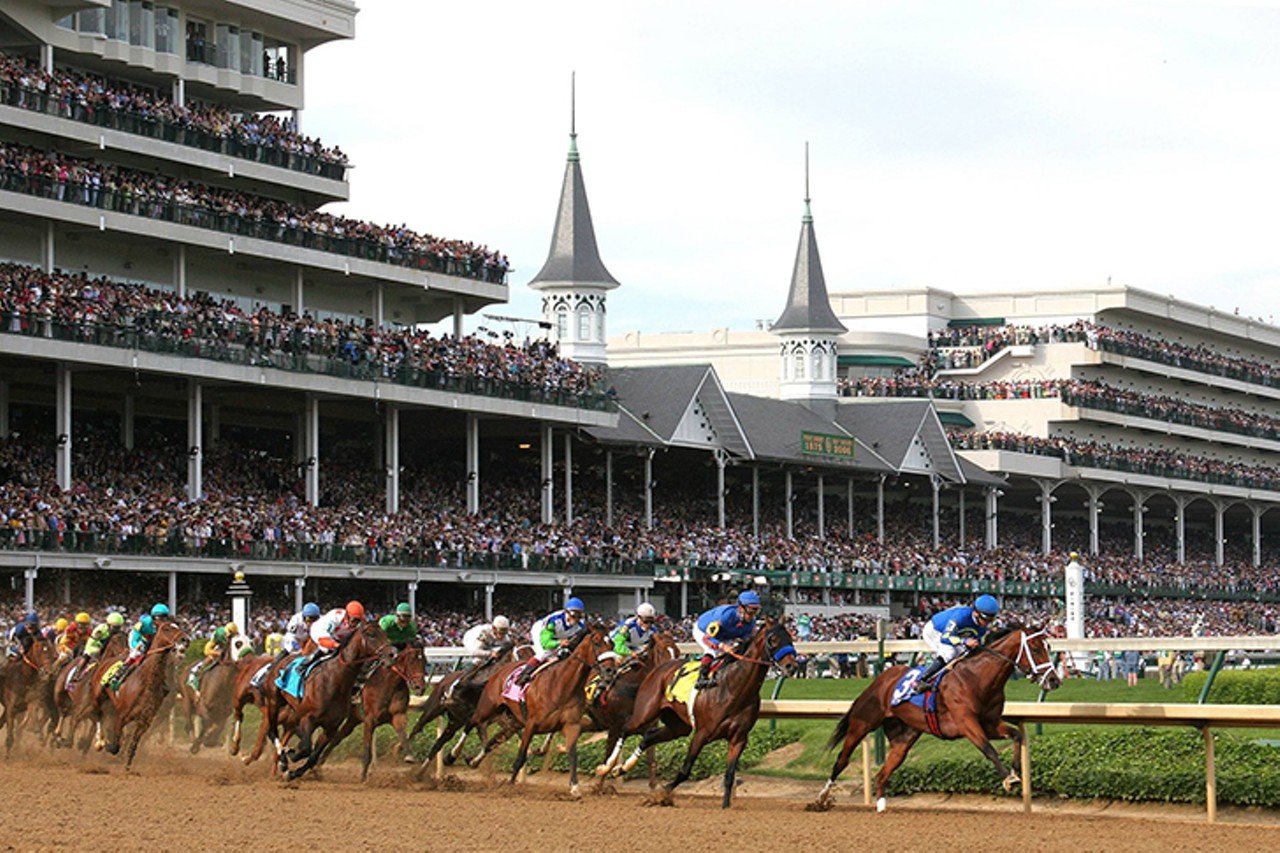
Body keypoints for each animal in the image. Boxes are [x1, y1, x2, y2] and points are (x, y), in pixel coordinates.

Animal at [94, 614, 186, 768]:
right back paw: (98, 742)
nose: (185, 639)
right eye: (167, 629)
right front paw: (108, 745)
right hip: (97, 696)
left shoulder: (145, 721)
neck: (147, 681)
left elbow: (132, 744)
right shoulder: (122, 715)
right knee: (96, 716)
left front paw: (127, 766)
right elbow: (115, 744)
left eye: (178, 626)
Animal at [277, 617, 396, 778]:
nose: (392, 654)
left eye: (385, 633)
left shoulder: (331, 727)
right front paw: (290, 755)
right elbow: (306, 748)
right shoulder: (308, 718)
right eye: (371, 635)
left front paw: (294, 771)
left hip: (294, 711)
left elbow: (313, 755)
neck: (335, 680)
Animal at [471, 625, 609, 799]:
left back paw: (473, 760)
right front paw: (510, 785)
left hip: (511, 722)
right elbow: (521, 755)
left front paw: (575, 788)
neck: (562, 685)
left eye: (612, 643)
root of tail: (500, 671)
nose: (611, 669)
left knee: (491, 741)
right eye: (597, 642)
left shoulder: (571, 724)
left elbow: (572, 755)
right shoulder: (531, 724)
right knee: (473, 723)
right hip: (487, 709)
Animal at [604, 617, 793, 804]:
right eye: (773, 639)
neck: (733, 687)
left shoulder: (739, 738)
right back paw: (607, 767)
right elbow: (685, 771)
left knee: (648, 737)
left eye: (790, 638)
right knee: (626, 728)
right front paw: (662, 794)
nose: (792, 665)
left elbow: (729, 776)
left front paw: (726, 806)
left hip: (678, 726)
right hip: (645, 712)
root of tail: (657, 668)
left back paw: (621, 768)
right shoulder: (702, 733)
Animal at [808, 617, 1059, 809]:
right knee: (842, 760)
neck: (978, 677)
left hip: (903, 740)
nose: (1054, 681)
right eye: (1036, 649)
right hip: (862, 723)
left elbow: (1016, 734)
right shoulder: (966, 723)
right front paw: (1009, 778)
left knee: (883, 773)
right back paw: (821, 798)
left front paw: (1016, 772)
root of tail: (880, 679)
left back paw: (881, 806)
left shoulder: (989, 723)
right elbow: (988, 749)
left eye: (1048, 649)